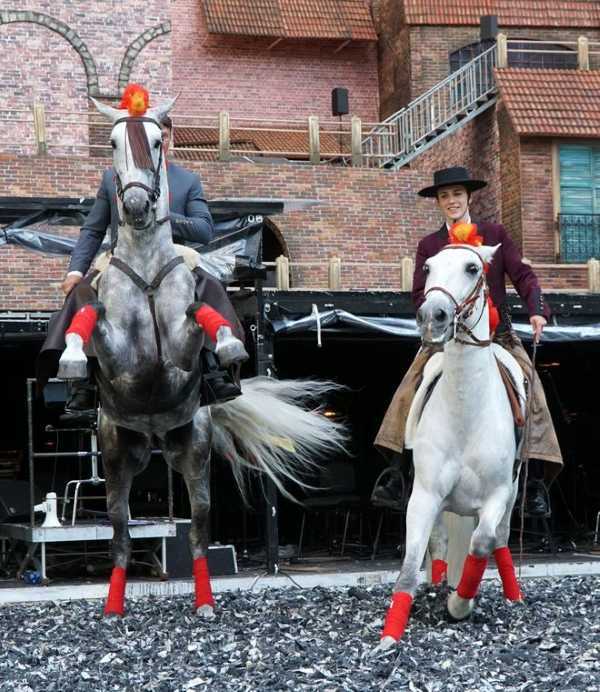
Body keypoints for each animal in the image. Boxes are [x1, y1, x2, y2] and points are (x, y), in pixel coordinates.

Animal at [57, 96, 346, 618]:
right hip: (117, 453)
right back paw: (113, 605)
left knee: (197, 528)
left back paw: (205, 601)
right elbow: (89, 313)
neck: (146, 267)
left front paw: (227, 341)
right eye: (112, 142)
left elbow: (201, 315)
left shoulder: (179, 356)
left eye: (155, 142)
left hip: (191, 449)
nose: (134, 206)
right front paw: (71, 351)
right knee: (120, 534)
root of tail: (154, 439)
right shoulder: (119, 360)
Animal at [377, 242, 526, 651]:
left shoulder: (497, 494)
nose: (433, 316)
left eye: (472, 268)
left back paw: (513, 595)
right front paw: (390, 636)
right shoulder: (424, 494)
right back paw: (441, 581)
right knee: (441, 540)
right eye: (427, 267)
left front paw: (460, 604)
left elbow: (482, 544)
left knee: (499, 540)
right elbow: (410, 565)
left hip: (512, 494)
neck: (466, 411)